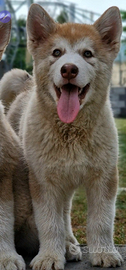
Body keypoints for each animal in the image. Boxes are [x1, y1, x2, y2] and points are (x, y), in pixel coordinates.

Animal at [6, 4, 123, 270]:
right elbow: (50, 224)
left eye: (87, 54)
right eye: (56, 52)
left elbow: (102, 221)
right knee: (61, 215)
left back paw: (70, 244)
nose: (69, 68)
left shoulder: (104, 177)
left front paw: (104, 253)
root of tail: (27, 84)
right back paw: (66, 246)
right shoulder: (43, 182)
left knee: (67, 212)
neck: (71, 134)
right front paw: (49, 256)